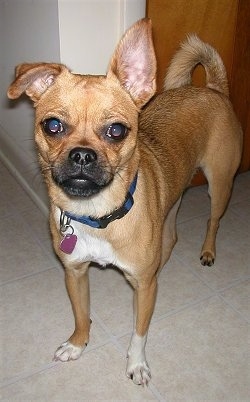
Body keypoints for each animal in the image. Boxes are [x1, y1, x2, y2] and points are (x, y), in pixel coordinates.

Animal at [7, 19, 242, 386]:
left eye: (116, 130)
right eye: (53, 125)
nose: (82, 155)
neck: (98, 216)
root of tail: (212, 89)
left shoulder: (143, 288)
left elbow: (139, 333)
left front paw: (136, 364)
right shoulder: (75, 273)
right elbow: (82, 315)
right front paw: (77, 344)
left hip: (220, 185)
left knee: (212, 221)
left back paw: (208, 250)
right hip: (174, 197)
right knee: (171, 236)